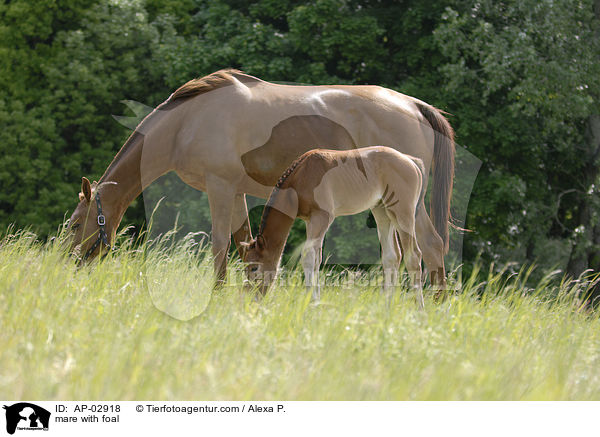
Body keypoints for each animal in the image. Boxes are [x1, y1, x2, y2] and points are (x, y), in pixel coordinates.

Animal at [68, 68, 452, 286]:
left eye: (73, 224)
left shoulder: (220, 189)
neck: (187, 121)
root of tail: (414, 105)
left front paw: (217, 295)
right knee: (404, 255)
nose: (68, 263)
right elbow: (243, 247)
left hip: (407, 204)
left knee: (430, 248)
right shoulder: (236, 193)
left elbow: (220, 246)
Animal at [243, 146, 426, 306]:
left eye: (254, 268)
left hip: (403, 213)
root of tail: (411, 161)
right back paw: (386, 307)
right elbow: (316, 259)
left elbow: (308, 256)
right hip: (382, 212)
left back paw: (419, 309)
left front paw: (311, 302)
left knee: (413, 255)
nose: (251, 298)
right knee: (391, 256)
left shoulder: (322, 217)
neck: (301, 176)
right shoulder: (310, 221)